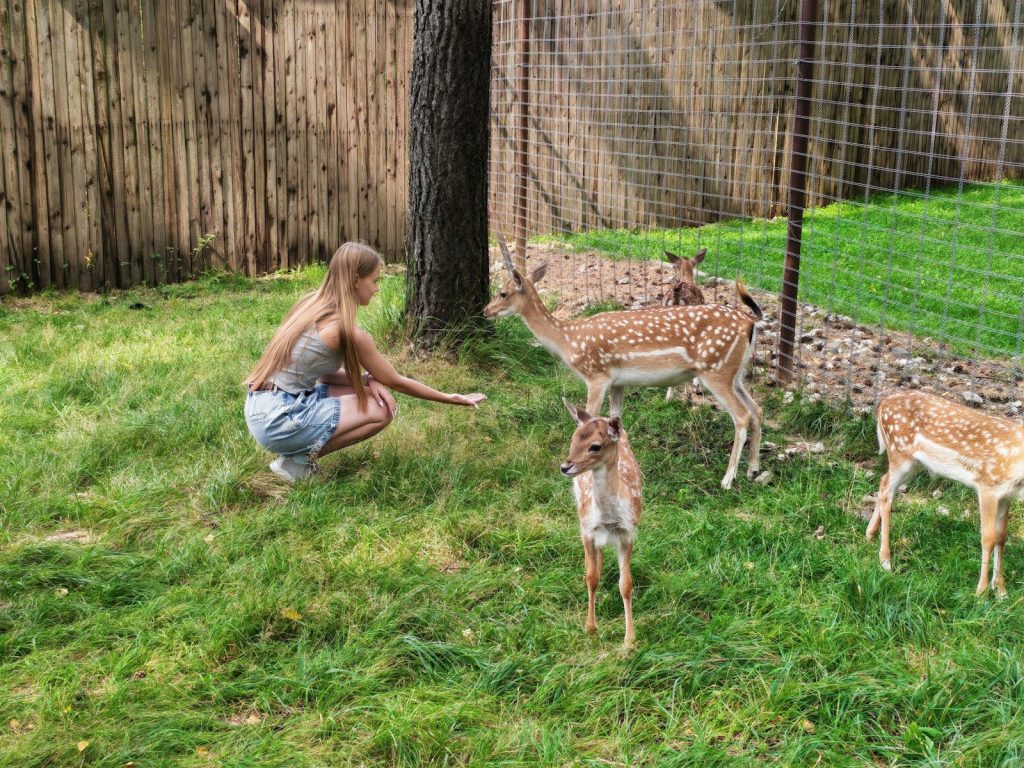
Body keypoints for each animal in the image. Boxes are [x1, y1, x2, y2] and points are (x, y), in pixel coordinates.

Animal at [560, 399, 642, 648]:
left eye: (595, 446)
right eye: (573, 440)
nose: (565, 466)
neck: (608, 519)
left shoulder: (628, 533)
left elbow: (626, 584)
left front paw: (630, 639)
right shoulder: (587, 529)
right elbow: (591, 577)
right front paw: (591, 627)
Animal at [868, 390, 1023, 598]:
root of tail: (883, 402)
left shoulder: (1007, 494)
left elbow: (1001, 537)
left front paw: (1001, 591)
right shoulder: (988, 485)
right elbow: (988, 538)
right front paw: (981, 593)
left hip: (914, 462)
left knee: (883, 481)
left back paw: (869, 534)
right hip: (899, 452)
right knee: (887, 491)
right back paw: (885, 561)